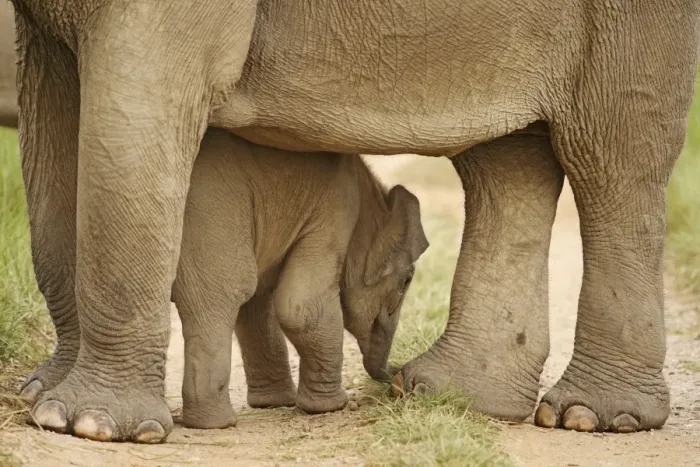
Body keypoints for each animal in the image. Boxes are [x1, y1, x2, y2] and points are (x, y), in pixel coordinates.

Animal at [172, 128, 427, 429]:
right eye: (406, 282)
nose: (401, 378)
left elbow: (258, 299)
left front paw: (275, 403)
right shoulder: (335, 208)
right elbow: (301, 308)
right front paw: (332, 406)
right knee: (222, 293)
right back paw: (214, 423)